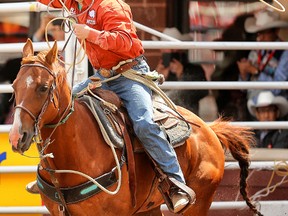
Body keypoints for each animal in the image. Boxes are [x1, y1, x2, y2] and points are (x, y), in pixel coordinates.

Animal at [9, 39, 262, 216]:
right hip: (148, 207)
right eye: (14, 86)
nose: (16, 137)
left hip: (199, 201)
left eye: (43, 87)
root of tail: (209, 130)